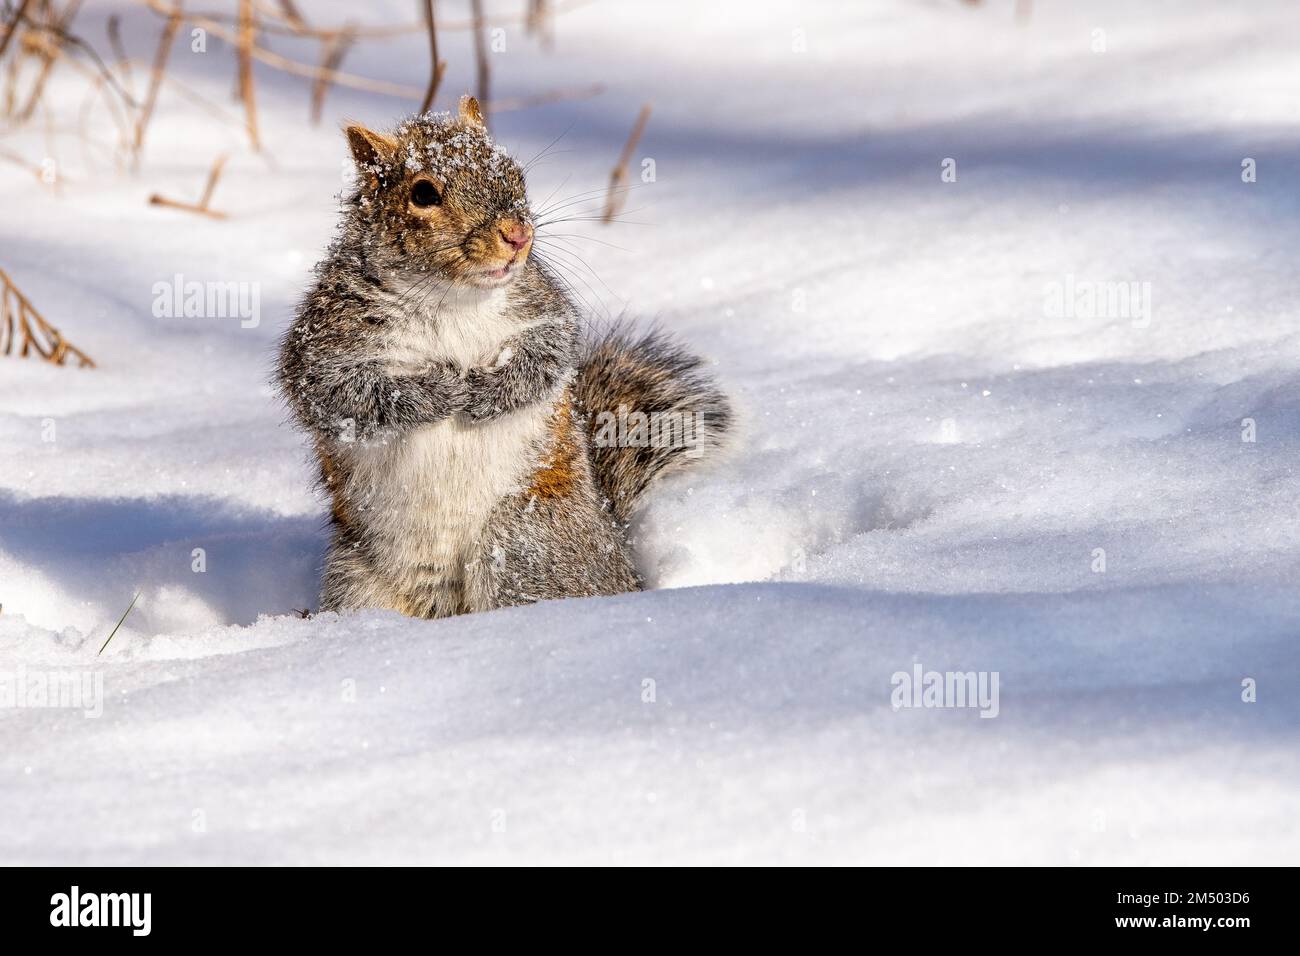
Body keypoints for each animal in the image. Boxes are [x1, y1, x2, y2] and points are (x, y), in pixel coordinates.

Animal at [276, 97, 733, 621]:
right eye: (424, 193)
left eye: (515, 173)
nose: (518, 234)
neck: (449, 298)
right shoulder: (325, 341)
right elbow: (339, 395)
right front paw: (436, 392)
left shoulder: (544, 309)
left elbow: (549, 357)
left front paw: (487, 392)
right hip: (358, 578)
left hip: (524, 544)